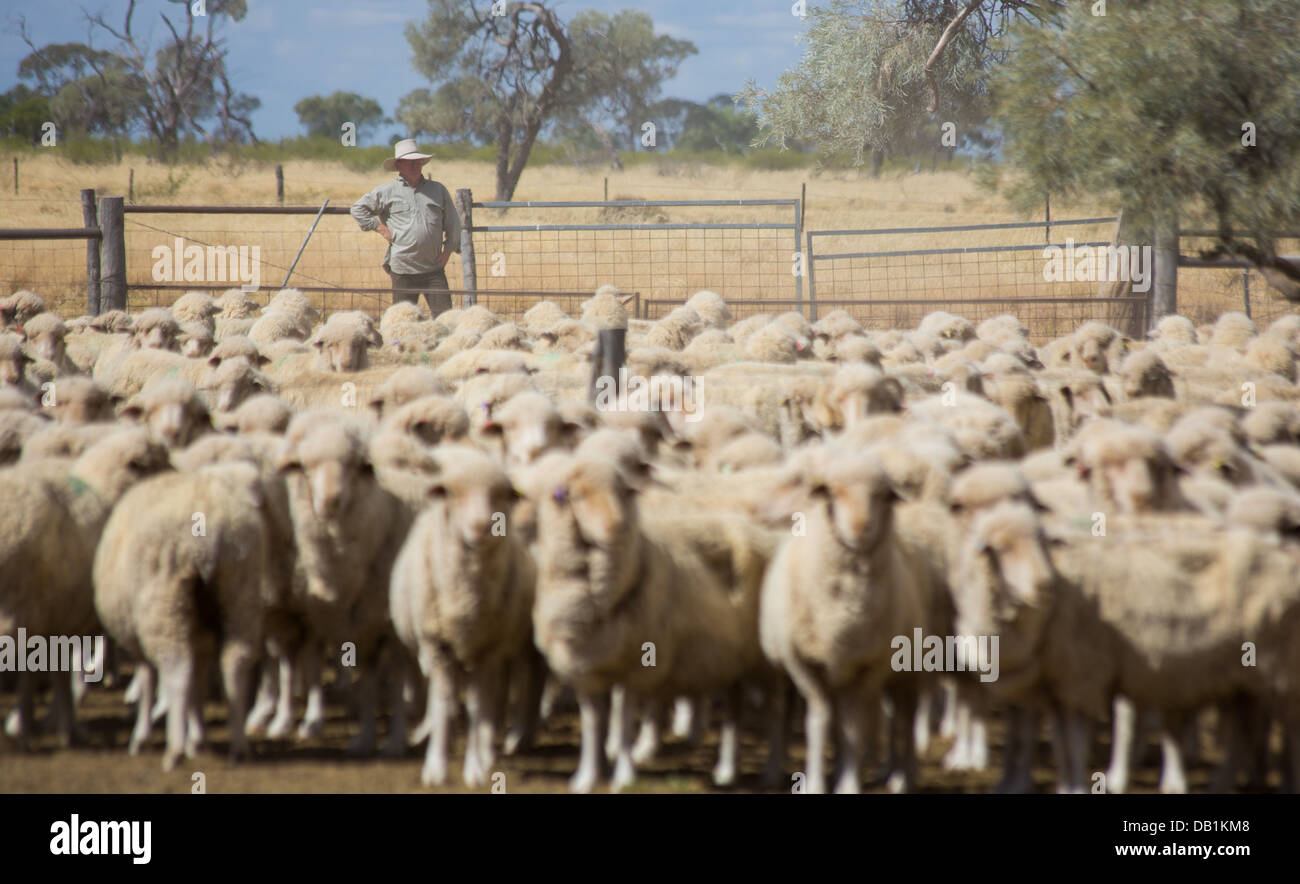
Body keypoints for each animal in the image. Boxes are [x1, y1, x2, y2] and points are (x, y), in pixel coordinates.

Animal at [92, 462, 267, 764]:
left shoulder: (138, 638)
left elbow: (149, 680)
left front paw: (143, 737)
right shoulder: (201, 633)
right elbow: (198, 684)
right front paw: (198, 739)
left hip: (164, 605)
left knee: (177, 669)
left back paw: (174, 749)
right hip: (240, 593)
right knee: (235, 663)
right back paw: (239, 745)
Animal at [390, 444, 543, 785]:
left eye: (502, 494)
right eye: (450, 493)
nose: (481, 527)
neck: (466, 597)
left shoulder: (488, 650)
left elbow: (478, 707)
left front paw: (475, 767)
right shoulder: (437, 646)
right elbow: (444, 704)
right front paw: (436, 767)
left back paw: (501, 746)